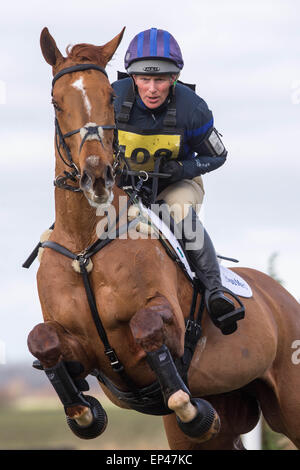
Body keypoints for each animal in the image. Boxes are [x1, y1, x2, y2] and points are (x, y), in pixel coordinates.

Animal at [25, 26, 300, 452]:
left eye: (108, 97)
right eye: (57, 102)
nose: (97, 177)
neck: (86, 246)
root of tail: (281, 297)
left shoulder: (167, 326)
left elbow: (148, 327)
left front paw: (190, 409)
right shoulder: (78, 347)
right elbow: (42, 341)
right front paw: (84, 414)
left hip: (291, 401)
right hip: (226, 412)